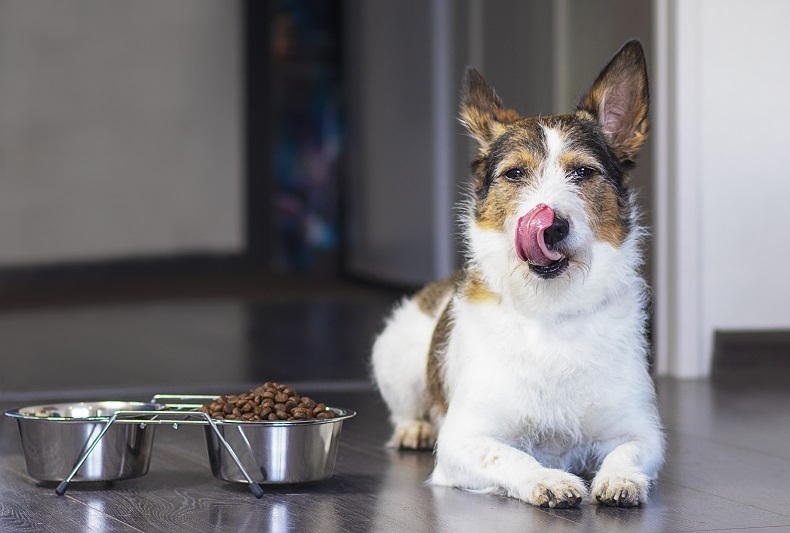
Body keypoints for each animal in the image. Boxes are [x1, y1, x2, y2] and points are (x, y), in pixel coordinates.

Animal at [372, 41, 668, 508]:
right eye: (514, 173)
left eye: (583, 171)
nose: (551, 226)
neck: (551, 310)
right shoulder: (462, 440)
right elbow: (512, 457)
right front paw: (549, 480)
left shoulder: (641, 430)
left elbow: (629, 451)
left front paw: (620, 479)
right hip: (395, 357)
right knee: (404, 410)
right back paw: (414, 428)